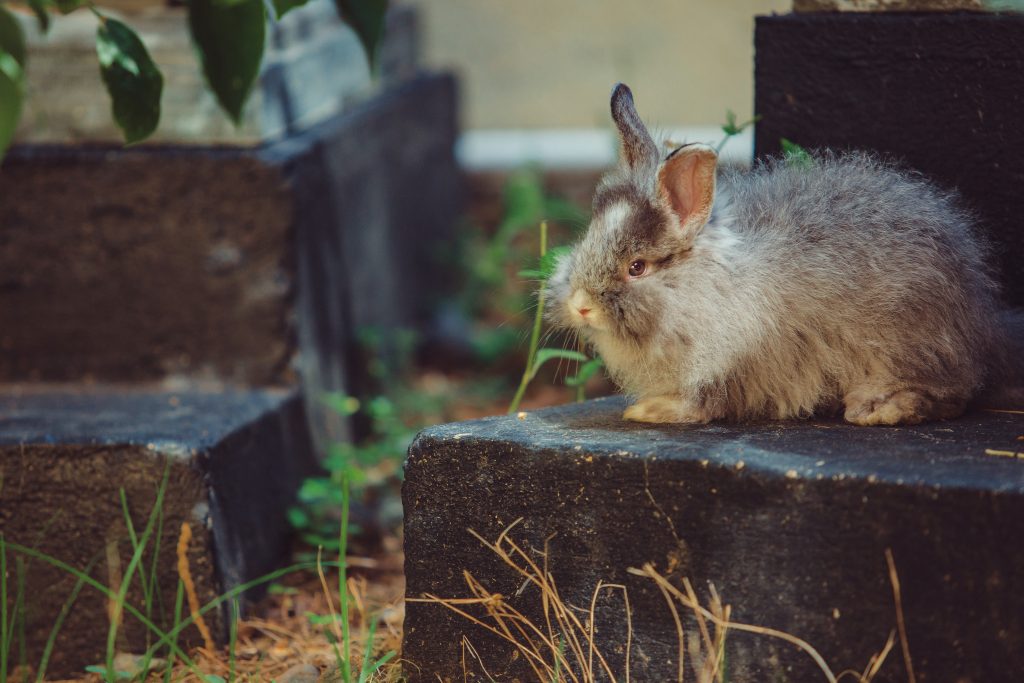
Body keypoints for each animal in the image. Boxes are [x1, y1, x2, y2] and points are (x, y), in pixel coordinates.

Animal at [546, 83, 1019, 426]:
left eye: (637, 267)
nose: (581, 306)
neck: (698, 289)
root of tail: (985, 324)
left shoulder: (726, 366)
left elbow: (704, 403)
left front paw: (651, 412)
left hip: (915, 349)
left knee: (953, 394)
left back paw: (875, 409)